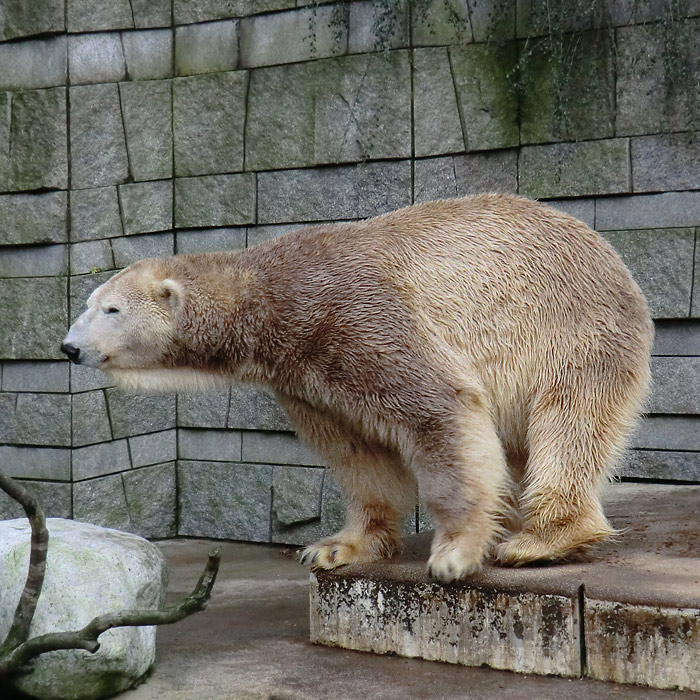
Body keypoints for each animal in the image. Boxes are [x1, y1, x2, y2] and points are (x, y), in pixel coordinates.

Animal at [63, 194, 652, 584]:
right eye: (88, 303)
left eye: (110, 309)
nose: (69, 347)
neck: (269, 298)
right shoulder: (306, 376)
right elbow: (359, 452)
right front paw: (336, 548)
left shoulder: (355, 317)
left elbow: (438, 409)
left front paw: (455, 553)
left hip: (570, 330)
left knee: (568, 424)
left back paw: (539, 540)